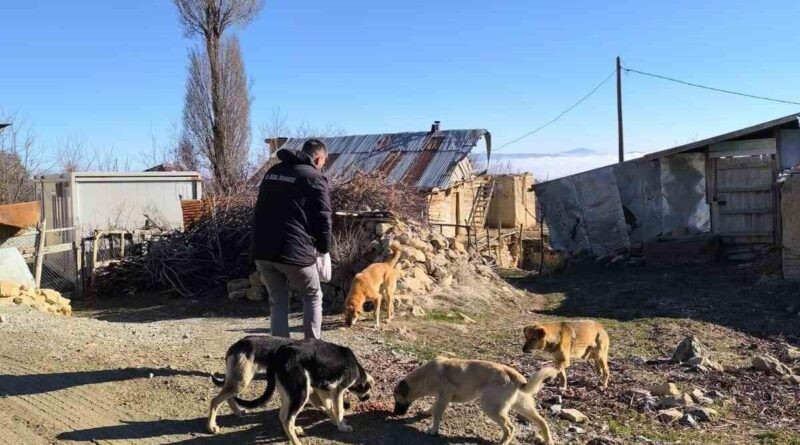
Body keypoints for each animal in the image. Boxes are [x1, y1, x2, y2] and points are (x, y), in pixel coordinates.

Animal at [206, 334, 372, 442]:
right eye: (367, 391)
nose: (367, 398)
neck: (356, 368)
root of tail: (237, 344)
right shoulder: (335, 390)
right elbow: (336, 409)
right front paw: (341, 424)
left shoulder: (320, 389)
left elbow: (329, 407)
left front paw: (334, 420)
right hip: (288, 390)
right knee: (216, 400)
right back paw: (212, 426)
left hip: (255, 384)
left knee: (282, 415)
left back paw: (238, 411)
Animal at [394, 356, 556, 445]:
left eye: (397, 400)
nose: (395, 413)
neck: (424, 376)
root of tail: (514, 375)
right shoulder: (442, 397)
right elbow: (434, 408)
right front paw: (426, 412)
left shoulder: (445, 394)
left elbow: (437, 414)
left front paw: (433, 430)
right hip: (522, 406)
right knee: (542, 421)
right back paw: (547, 440)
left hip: (490, 407)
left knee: (510, 428)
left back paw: (503, 442)